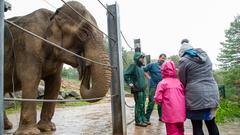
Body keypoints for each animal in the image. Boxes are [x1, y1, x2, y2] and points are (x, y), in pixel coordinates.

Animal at [3, 0, 111, 134]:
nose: (85, 65)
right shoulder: (28, 44)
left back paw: (7, 126)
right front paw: (30, 132)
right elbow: (30, 79)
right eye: (84, 33)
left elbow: (55, 83)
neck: (52, 15)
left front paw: (48, 128)